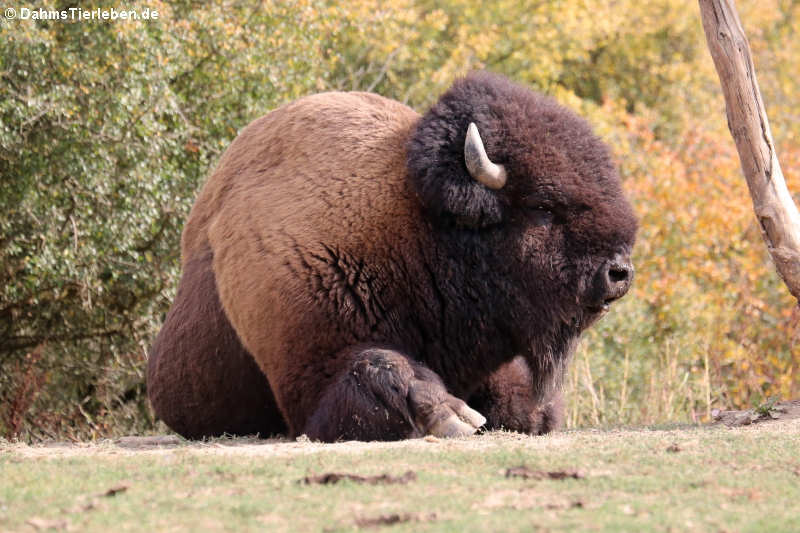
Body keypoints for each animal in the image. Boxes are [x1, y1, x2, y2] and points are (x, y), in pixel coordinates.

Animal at [146, 71, 637, 442]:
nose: (619, 273)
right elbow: (377, 369)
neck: (415, 227)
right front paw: (450, 415)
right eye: (542, 208)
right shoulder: (310, 365)